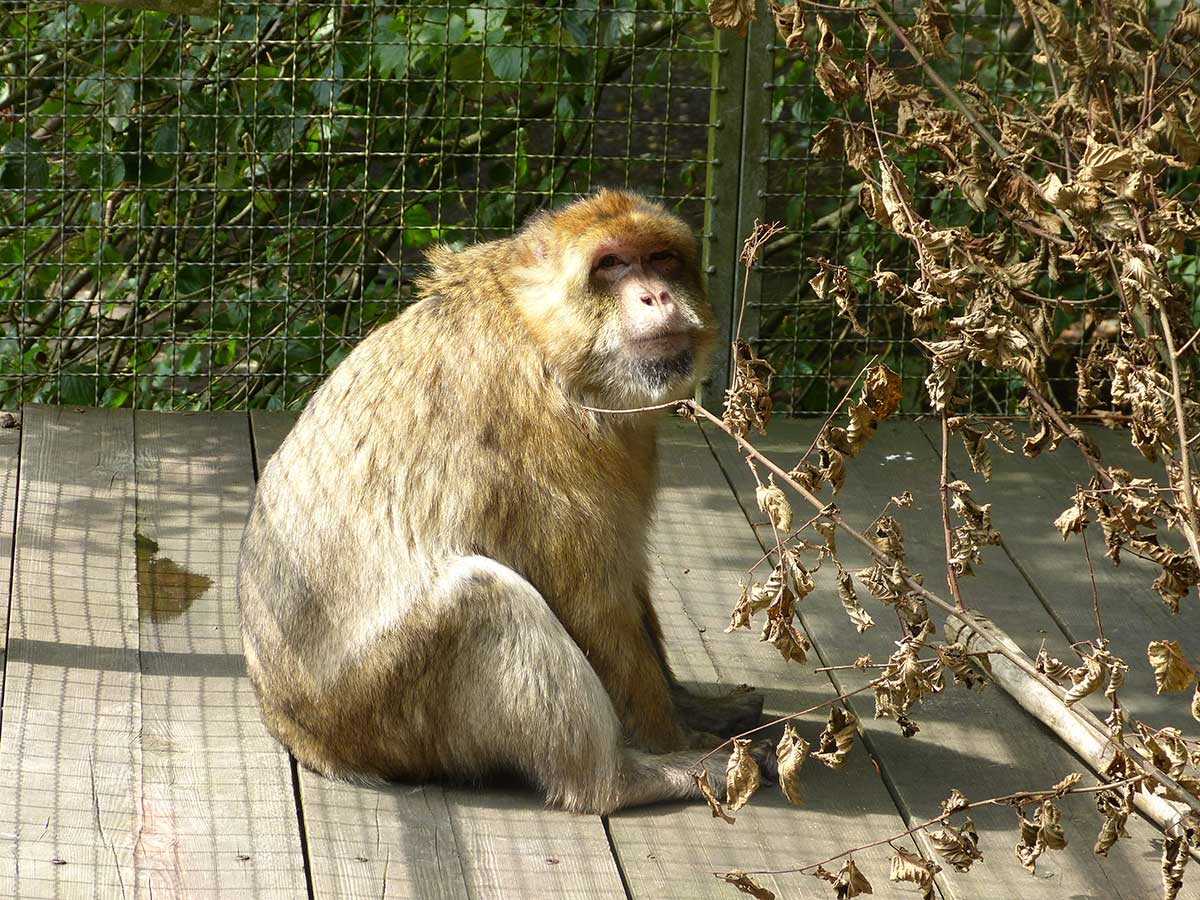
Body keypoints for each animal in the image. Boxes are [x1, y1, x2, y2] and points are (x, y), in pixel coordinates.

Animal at [237, 190, 763, 816]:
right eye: (611, 264)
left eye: (660, 258)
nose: (655, 295)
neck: (541, 334)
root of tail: (295, 730)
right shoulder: (547, 423)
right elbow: (591, 600)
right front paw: (674, 735)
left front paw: (693, 705)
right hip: (380, 708)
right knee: (483, 598)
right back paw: (618, 779)